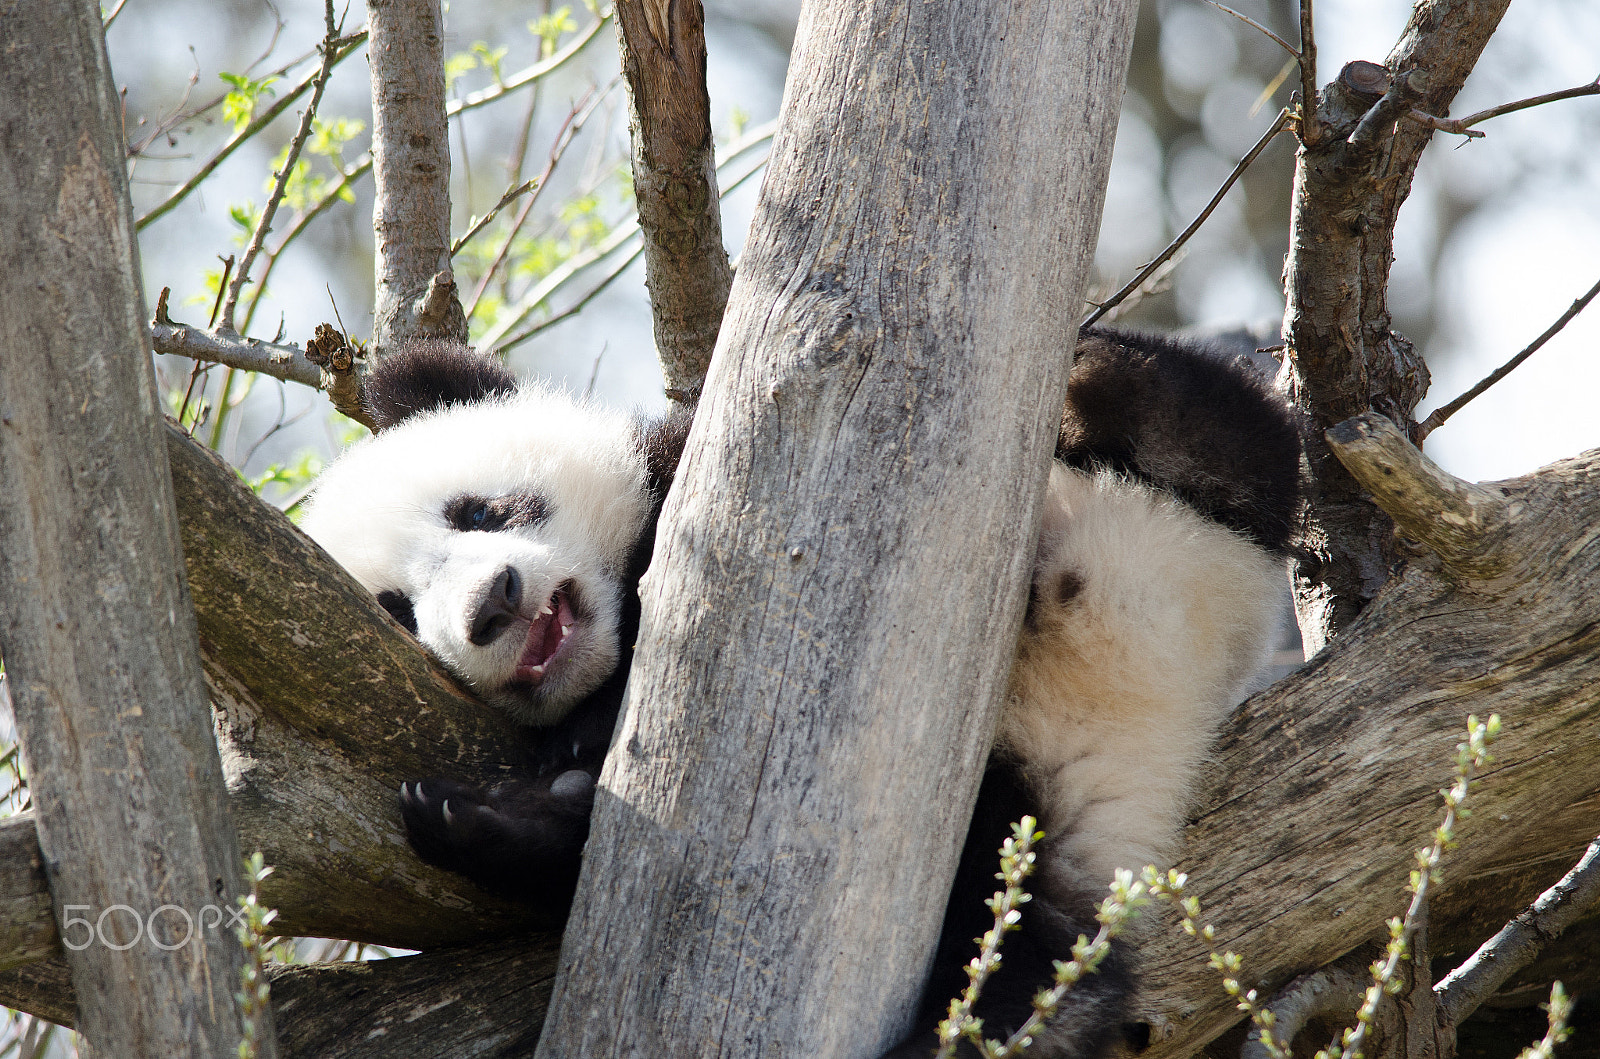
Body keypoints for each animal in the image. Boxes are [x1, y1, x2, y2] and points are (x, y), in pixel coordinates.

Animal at [300, 327, 1299, 1055]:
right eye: (397, 608)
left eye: (479, 509)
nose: (492, 606)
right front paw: (521, 788)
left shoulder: (699, 478)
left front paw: (581, 734)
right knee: (1017, 927)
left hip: (1175, 522)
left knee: (1214, 430)